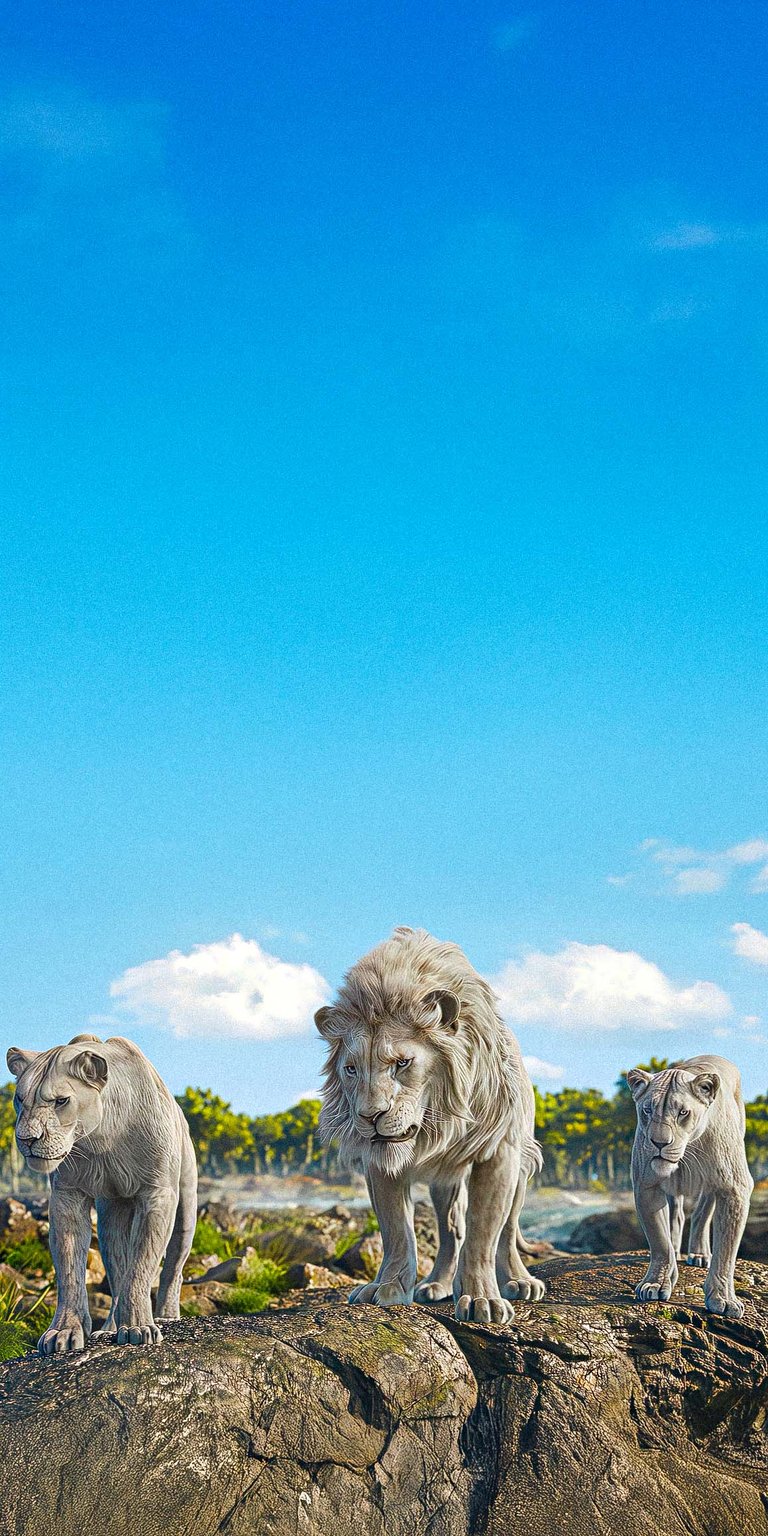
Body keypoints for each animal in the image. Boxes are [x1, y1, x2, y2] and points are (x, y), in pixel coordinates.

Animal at [7, 1034, 198, 1353]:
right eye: (20, 1099)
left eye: (61, 1101)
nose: (27, 1139)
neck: (101, 1138)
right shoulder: (67, 1194)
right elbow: (70, 1269)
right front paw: (62, 1333)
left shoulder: (157, 1194)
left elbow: (141, 1266)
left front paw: (138, 1328)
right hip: (111, 1210)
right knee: (116, 1266)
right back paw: (108, 1328)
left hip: (186, 1204)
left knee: (174, 1265)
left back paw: (167, 1318)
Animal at [316, 927, 545, 1323]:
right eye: (351, 1069)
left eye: (402, 1063)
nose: (369, 1116)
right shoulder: (380, 1160)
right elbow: (396, 1230)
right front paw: (386, 1288)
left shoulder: (499, 1151)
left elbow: (484, 1231)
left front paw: (481, 1299)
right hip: (444, 1181)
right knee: (451, 1229)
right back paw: (436, 1284)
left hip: (520, 1165)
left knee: (507, 1228)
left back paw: (519, 1281)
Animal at [627, 1054, 753, 1319]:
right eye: (647, 1110)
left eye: (683, 1112)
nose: (659, 1143)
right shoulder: (646, 1185)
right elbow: (659, 1239)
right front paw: (657, 1283)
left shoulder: (735, 1189)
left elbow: (726, 1251)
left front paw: (724, 1299)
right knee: (677, 1216)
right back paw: (677, 1251)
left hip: (714, 1185)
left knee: (702, 1213)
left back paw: (700, 1254)